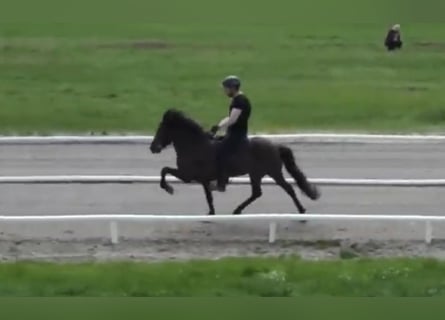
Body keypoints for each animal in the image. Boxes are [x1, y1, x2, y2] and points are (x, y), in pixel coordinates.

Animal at [150, 109, 320, 216]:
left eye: (162, 129)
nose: (153, 148)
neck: (195, 146)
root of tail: (275, 146)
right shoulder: (202, 179)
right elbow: (208, 196)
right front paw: (211, 213)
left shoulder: (187, 175)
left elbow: (164, 170)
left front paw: (168, 188)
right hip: (256, 174)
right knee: (257, 193)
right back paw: (238, 210)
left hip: (273, 173)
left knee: (288, 189)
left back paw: (302, 211)